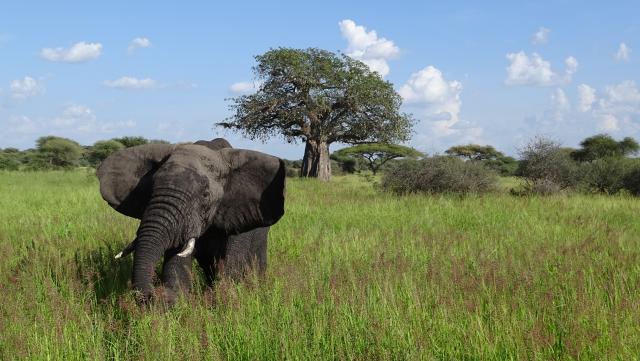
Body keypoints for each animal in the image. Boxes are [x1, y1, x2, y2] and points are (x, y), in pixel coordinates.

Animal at [96, 138, 284, 304]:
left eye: (205, 195)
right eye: (151, 189)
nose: (153, 295)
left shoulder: (236, 213)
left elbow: (230, 267)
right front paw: (174, 300)